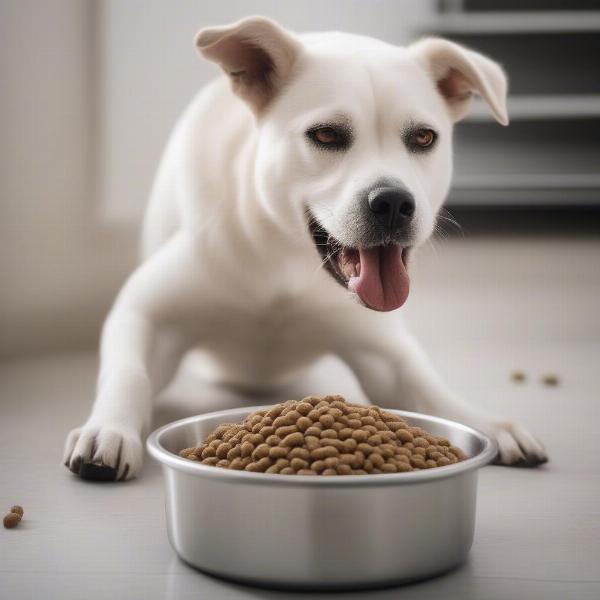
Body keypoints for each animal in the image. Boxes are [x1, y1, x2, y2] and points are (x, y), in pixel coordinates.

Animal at [63, 16, 548, 480]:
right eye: (327, 136)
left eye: (424, 138)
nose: (394, 202)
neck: (283, 259)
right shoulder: (144, 314)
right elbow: (129, 374)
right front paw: (108, 428)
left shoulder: (383, 355)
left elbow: (428, 387)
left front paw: (486, 422)